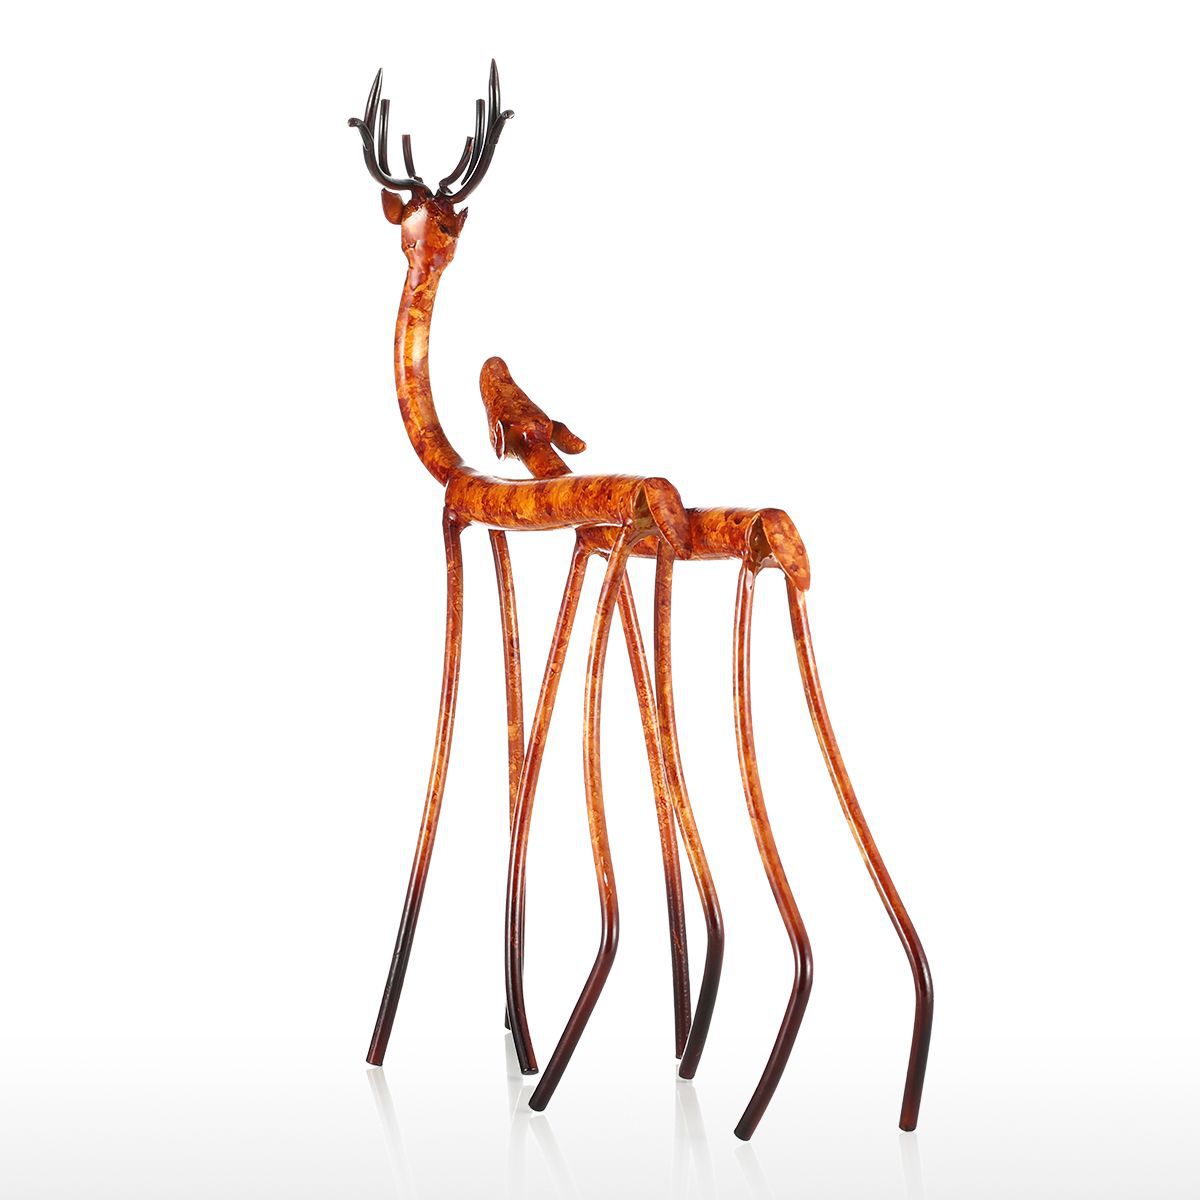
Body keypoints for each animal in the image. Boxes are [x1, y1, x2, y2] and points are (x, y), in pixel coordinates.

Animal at [348, 61, 932, 1141]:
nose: (423, 243)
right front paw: (524, 1022)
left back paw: (614, 1079)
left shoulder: (484, 533)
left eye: (444, 223)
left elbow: (463, 772)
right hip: (728, 549)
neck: (458, 455)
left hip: (661, 549)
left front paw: (406, 1034)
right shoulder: (563, 543)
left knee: (652, 903)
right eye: (416, 222)